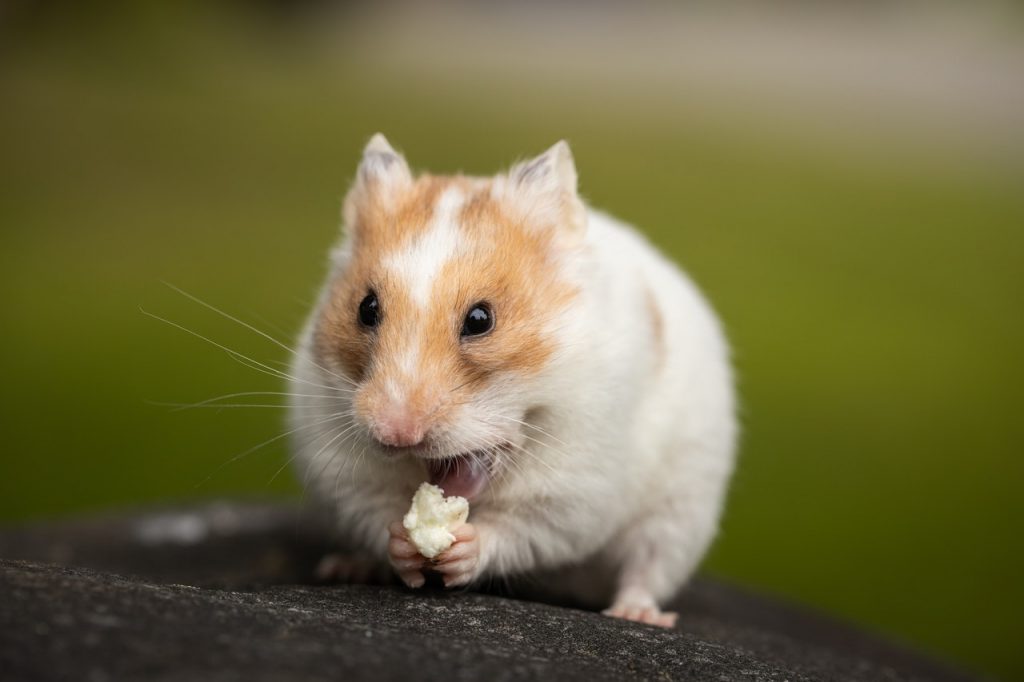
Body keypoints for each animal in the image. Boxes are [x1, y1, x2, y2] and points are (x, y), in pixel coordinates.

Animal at [288, 134, 737, 626]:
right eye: (366, 308)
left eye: (481, 319)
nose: (396, 434)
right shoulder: (345, 472)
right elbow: (378, 514)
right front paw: (405, 544)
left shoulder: (574, 492)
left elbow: (517, 530)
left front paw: (460, 547)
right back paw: (347, 567)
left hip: (681, 511)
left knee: (647, 566)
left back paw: (636, 614)